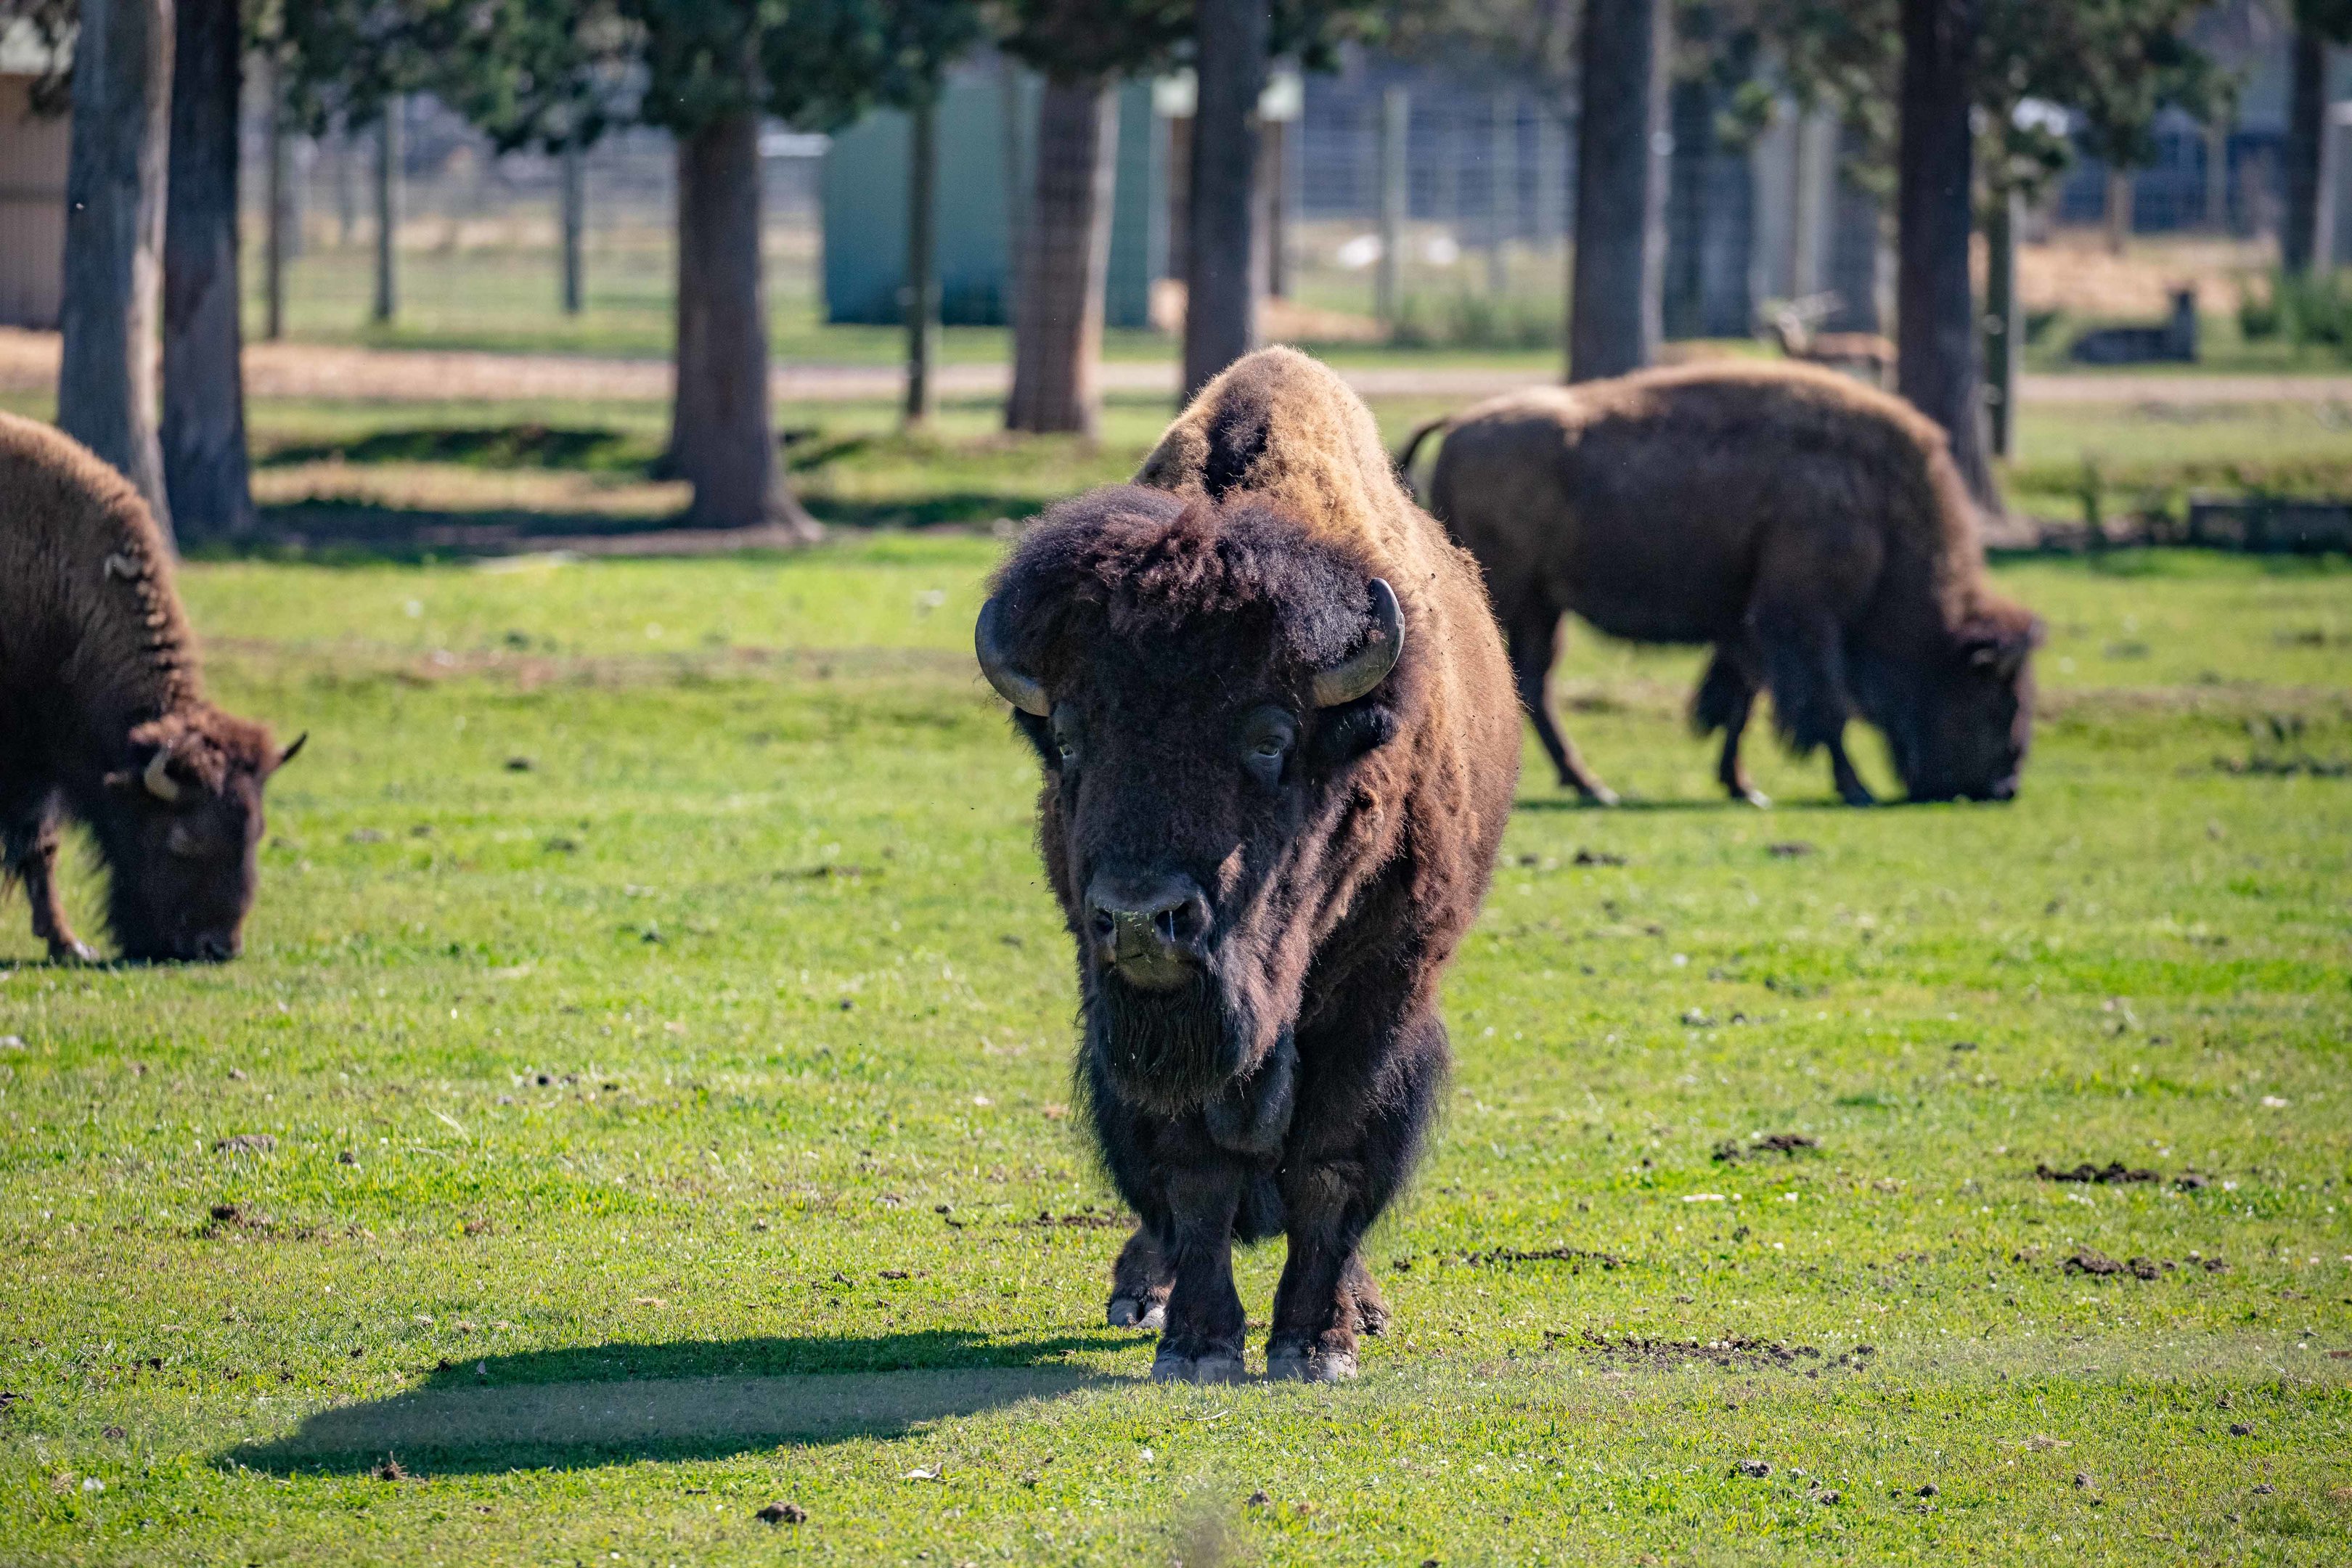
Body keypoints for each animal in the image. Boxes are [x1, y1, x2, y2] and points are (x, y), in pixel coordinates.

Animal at [0, 414, 301, 962]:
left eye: (256, 833)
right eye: (183, 840)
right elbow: (37, 843)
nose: (215, 947)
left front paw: (69, 945)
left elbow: (42, 844)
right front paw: (67, 943)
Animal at [976, 348, 1518, 1381]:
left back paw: (1360, 1306)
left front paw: (1315, 1344)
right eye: (1068, 737)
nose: (1142, 919)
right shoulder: (1148, 1023)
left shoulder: (1384, 988)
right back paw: (1140, 1291)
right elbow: (1193, 1173)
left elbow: (1332, 1160)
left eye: (1270, 737)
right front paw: (1197, 1343)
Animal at [1402, 362, 2042, 806]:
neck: (1878, 503)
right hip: (1516, 597)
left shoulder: (1747, 626)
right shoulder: (1803, 617)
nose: (2005, 786)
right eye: (1996, 700)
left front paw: (1742, 785)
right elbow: (1821, 704)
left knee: (1534, 684)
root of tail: (1459, 425)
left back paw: (1591, 786)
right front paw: (1853, 787)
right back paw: (1584, 786)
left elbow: (1741, 702)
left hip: (1543, 605)